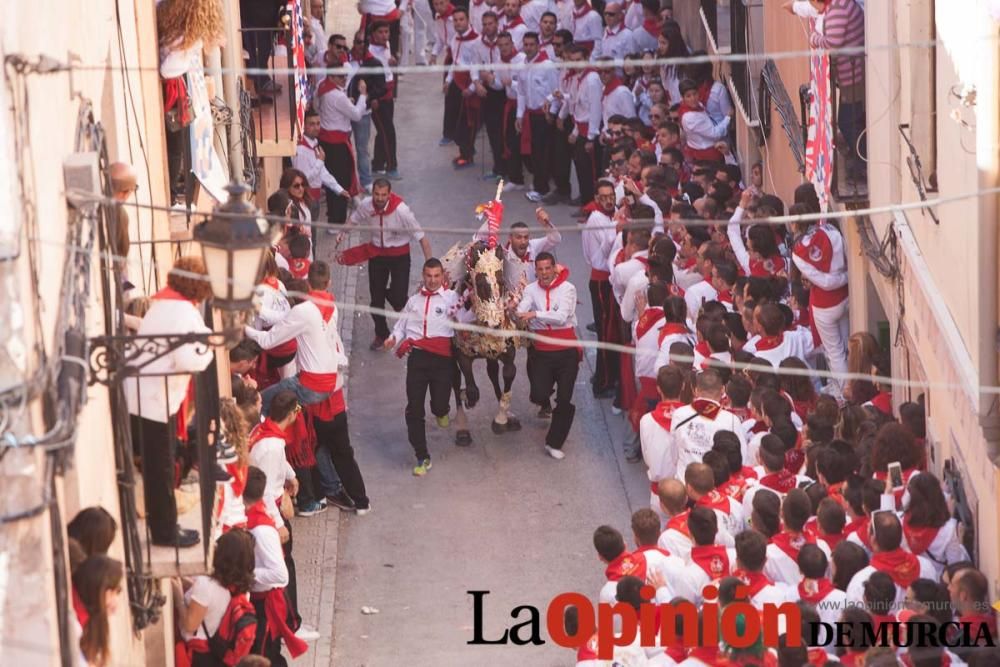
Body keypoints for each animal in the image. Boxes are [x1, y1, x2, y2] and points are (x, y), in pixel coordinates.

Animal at [444, 183, 524, 446]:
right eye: (479, 282)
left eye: (502, 281)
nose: (495, 323)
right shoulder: (461, 353)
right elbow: (469, 386)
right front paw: (469, 399)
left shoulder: (507, 351)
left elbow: (507, 378)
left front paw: (502, 419)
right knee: (454, 380)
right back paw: (462, 427)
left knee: (491, 372)